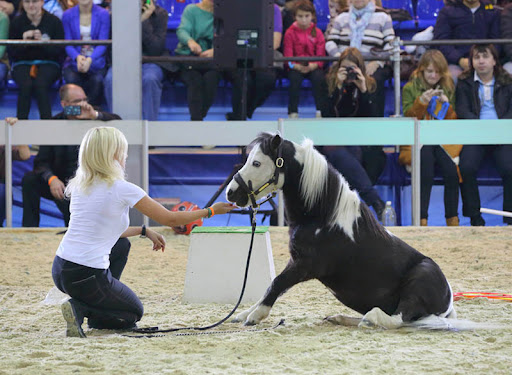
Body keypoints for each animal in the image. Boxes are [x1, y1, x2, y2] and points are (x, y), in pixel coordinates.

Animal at [227, 133, 456, 328]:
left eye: (257, 163)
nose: (231, 192)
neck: (323, 217)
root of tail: (448, 301)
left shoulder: (304, 265)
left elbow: (277, 283)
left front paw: (255, 316)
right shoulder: (297, 262)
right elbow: (273, 287)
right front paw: (244, 313)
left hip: (418, 282)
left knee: (399, 318)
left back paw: (370, 318)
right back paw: (340, 318)